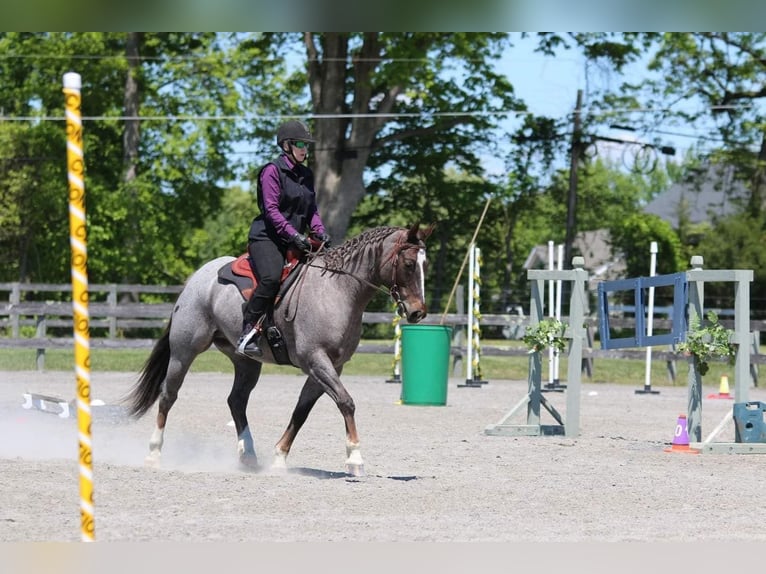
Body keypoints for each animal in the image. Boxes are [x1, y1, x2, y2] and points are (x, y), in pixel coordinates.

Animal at [125, 223, 433, 476]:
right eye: (408, 264)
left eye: (424, 264)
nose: (417, 312)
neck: (337, 290)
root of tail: (198, 278)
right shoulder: (316, 360)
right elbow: (346, 402)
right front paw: (355, 458)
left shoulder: (329, 366)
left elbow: (301, 411)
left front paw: (279, 458)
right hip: (184, 351)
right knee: (168, 395)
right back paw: (153, 454)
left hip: (246, 362)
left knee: (236, 401)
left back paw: (248, 456)